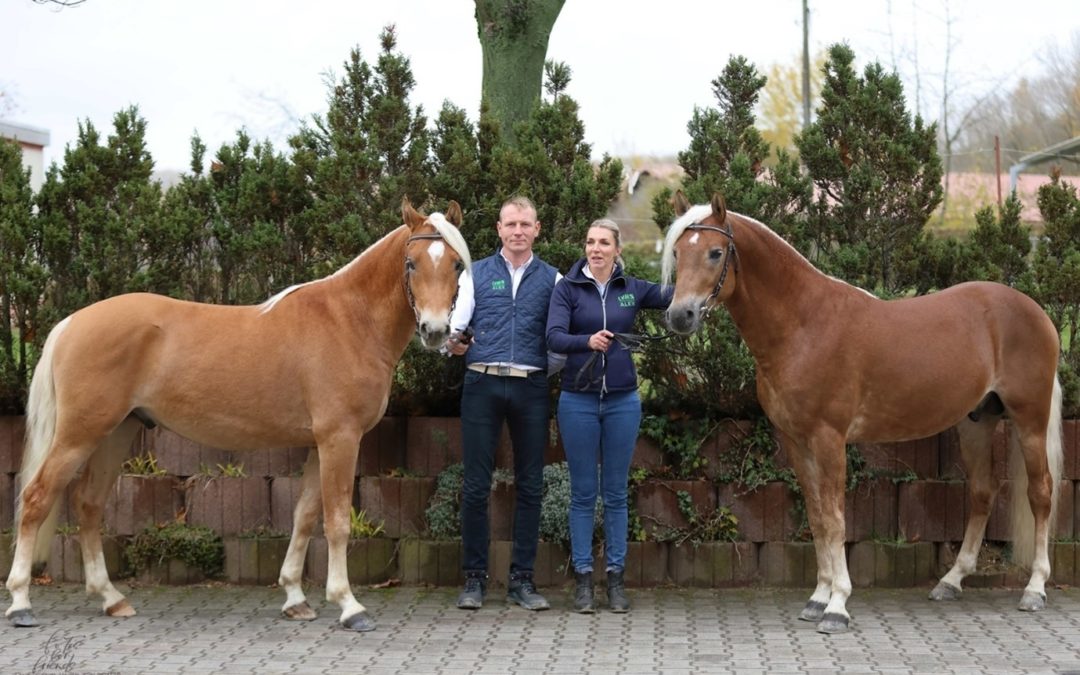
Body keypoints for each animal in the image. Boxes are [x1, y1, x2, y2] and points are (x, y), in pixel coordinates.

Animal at [5, 197, 468, 630]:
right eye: (411, 262)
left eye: (457, 265)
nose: (435, 331)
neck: (349, 320)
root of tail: (71, 323)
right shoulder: (340, 438)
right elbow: (336, 521)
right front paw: (349, 606)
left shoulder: (320, 443)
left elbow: (305, 515)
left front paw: (295, 598)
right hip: (79, 434)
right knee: (36, 498)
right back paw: (21, 602)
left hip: (116, 432)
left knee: (88, 504)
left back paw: (111, 598)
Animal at [656, 192, 1062, 635]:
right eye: (677, 252)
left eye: (715, 252)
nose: (680, 316)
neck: (805, 325)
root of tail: (1036, 311)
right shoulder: (796, 441)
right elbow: (817, 517)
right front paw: (818, 598)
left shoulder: (829, 439)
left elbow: (835, 520)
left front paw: (837, 606)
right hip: (977, 422)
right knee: (983, 493)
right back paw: (951, 581)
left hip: (1029, 419)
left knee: (1041, 493)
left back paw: (1036, 589)